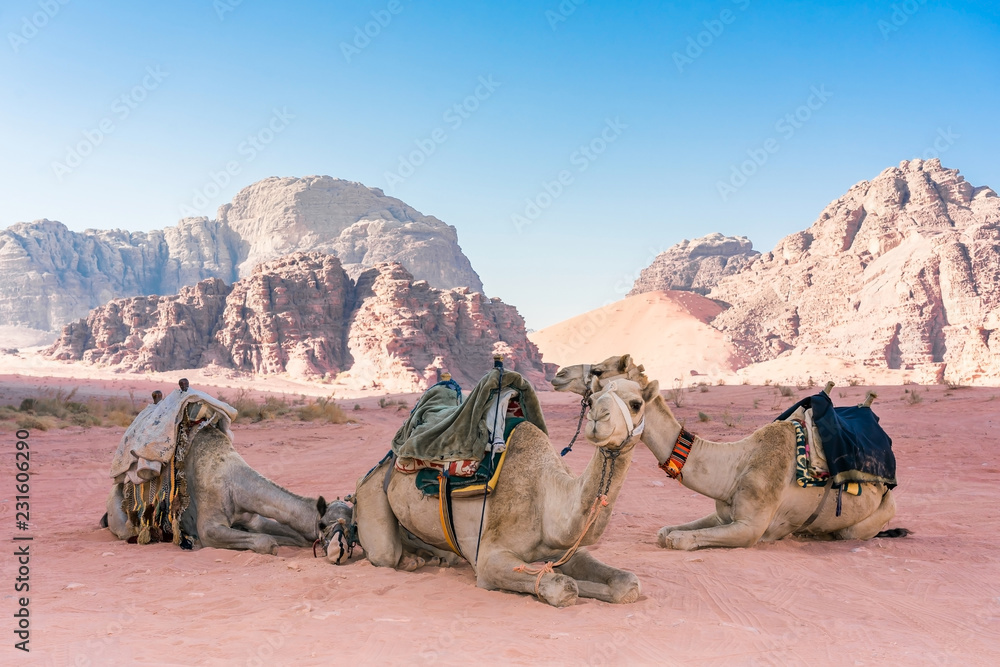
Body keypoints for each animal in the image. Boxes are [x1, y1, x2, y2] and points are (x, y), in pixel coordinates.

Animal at [105, 420, 353, 559]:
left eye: (352, 524)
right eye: (323, 524)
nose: (337, 549)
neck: (233, 481)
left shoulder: (252, 516)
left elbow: (294, 537)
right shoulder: (210, 528)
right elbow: (266, 542)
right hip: (123, 520)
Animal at [353, 383, 646, 607]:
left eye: (637, 403)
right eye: (592, 400)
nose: (599, 419)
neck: (546, 494)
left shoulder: (566, 549)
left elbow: (628, 583)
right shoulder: (489, 557)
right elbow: (565, 587)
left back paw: (432, 557)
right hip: (372, 493)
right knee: (385, 553)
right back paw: (411, 560)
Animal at [557, 356, 904, 549]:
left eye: (635, 403)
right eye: (596, 396)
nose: (559, 374)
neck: (736, 463)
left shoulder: (750, 528)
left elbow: (677, 539)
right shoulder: (723, 513)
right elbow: (666, 531)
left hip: (874, 517)